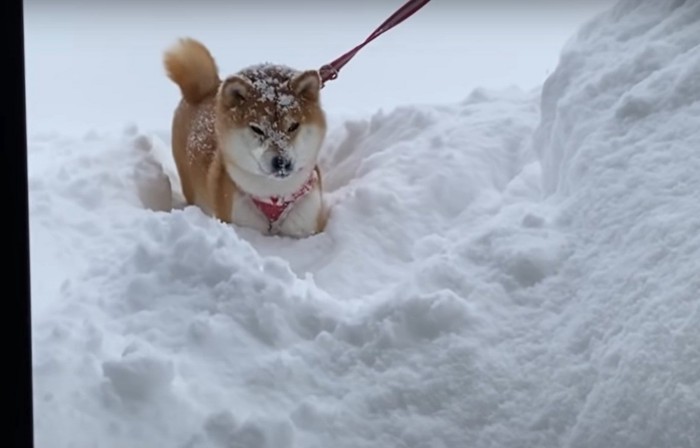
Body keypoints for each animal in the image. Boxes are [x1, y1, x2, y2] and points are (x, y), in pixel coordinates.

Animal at [163, 38, 328, 238]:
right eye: (257, 129)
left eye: (293, 126)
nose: (281, 162)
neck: (275, 193)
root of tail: (207, 90)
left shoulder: (308, 222)